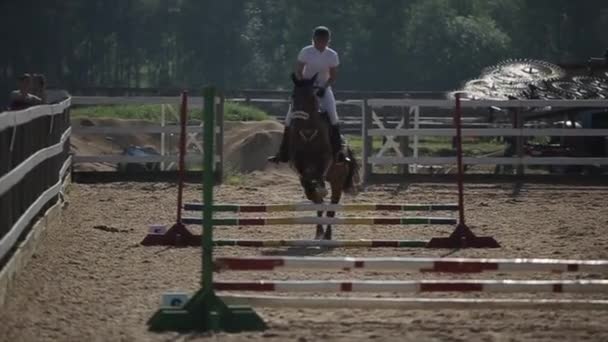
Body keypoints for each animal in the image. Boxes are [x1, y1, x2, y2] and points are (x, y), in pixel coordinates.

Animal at [286, 74, 358, 240]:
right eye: (294, 95)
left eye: (310, 96)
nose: (298, 118)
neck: (308, 129)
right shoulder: (299, 163)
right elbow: (306, 183)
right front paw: (313, 192)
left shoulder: (325, 160)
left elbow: (319, 177)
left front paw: (319, 190)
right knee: (320, 207)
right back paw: (319, 231)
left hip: (337, 182)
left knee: (331, 208)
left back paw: (327, 235)